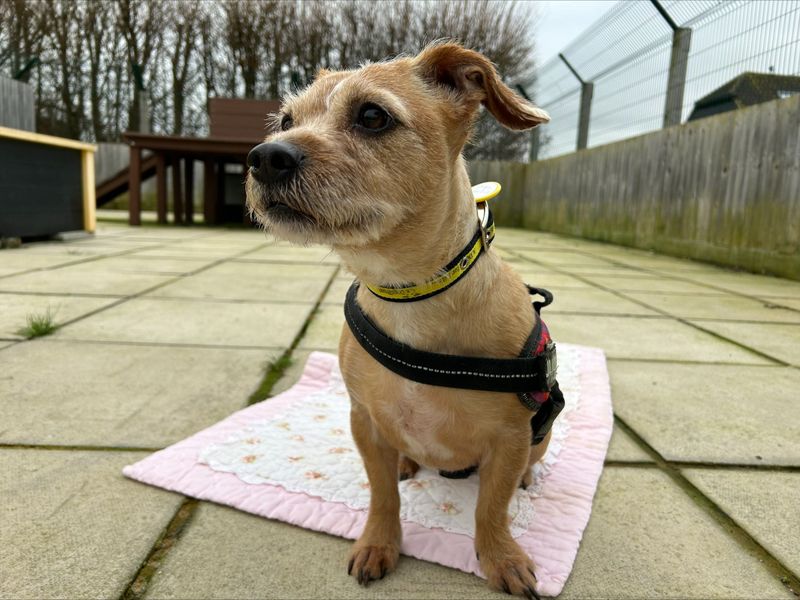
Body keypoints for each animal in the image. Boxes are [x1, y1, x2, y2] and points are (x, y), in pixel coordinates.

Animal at [247, 39, 552, 596]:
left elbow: (491, 509)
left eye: (372, 116)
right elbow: (382, 492)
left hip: (539, 438)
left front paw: (501, 557)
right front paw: (378, 543)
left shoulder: (510, 438)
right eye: (285, 120)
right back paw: (409, 460)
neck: (407, 294)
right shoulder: (365, 421)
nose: (265, 157)